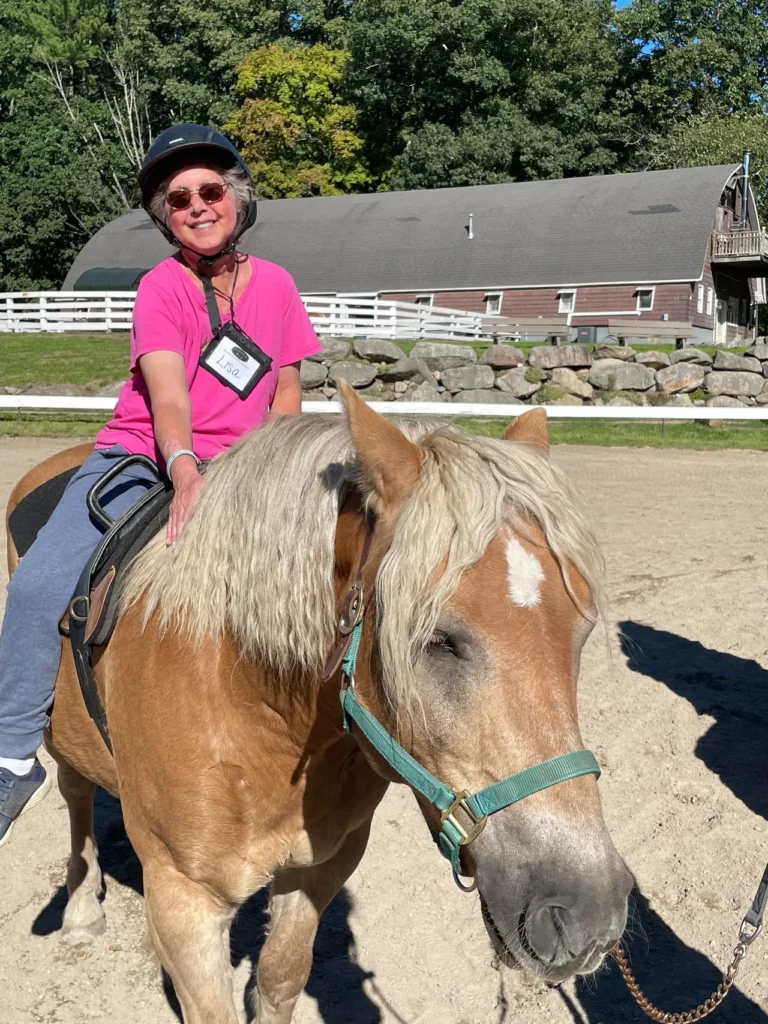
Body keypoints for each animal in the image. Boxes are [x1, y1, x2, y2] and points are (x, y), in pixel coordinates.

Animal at [6, 387, 630, 1019]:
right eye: (438, 641)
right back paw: (81, 907)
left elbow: (279, 979)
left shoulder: (321, 867)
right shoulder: (184, 902)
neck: (254, 712)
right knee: (76, 790)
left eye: (581, 631)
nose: (589, 914)